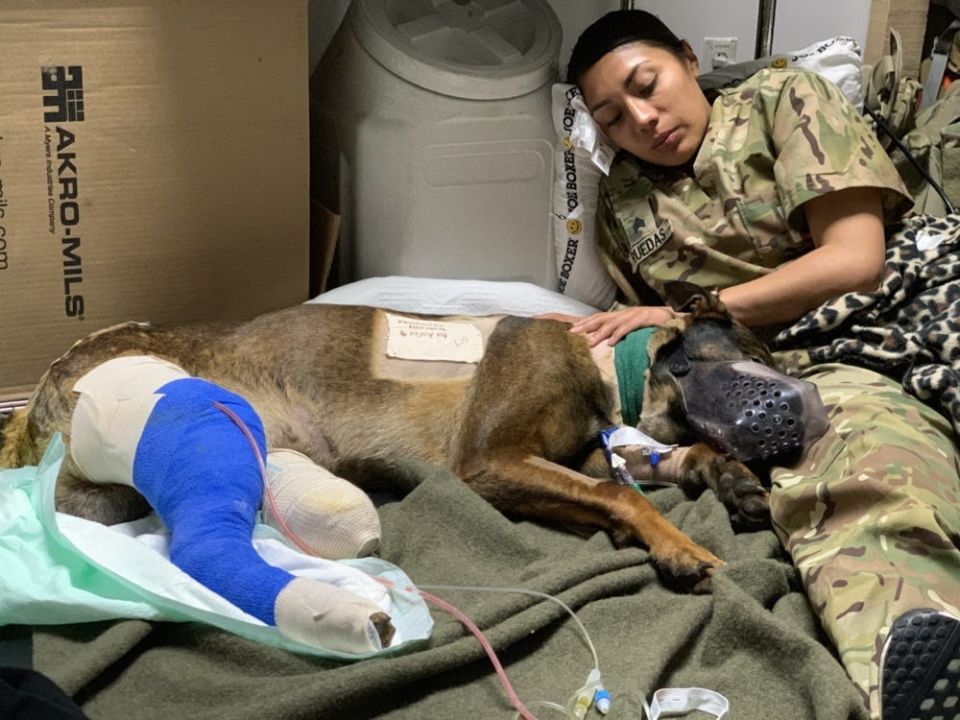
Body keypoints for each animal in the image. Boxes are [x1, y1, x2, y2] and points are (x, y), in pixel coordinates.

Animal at [0, 282, 768, 592]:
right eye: (759, 350)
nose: (781, 427)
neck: (607, 366)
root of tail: (35, 394)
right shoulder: (487, 461)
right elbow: (625, 496)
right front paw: (678, 545)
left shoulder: (573, 454)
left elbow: (647, 469)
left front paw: (730, 478)